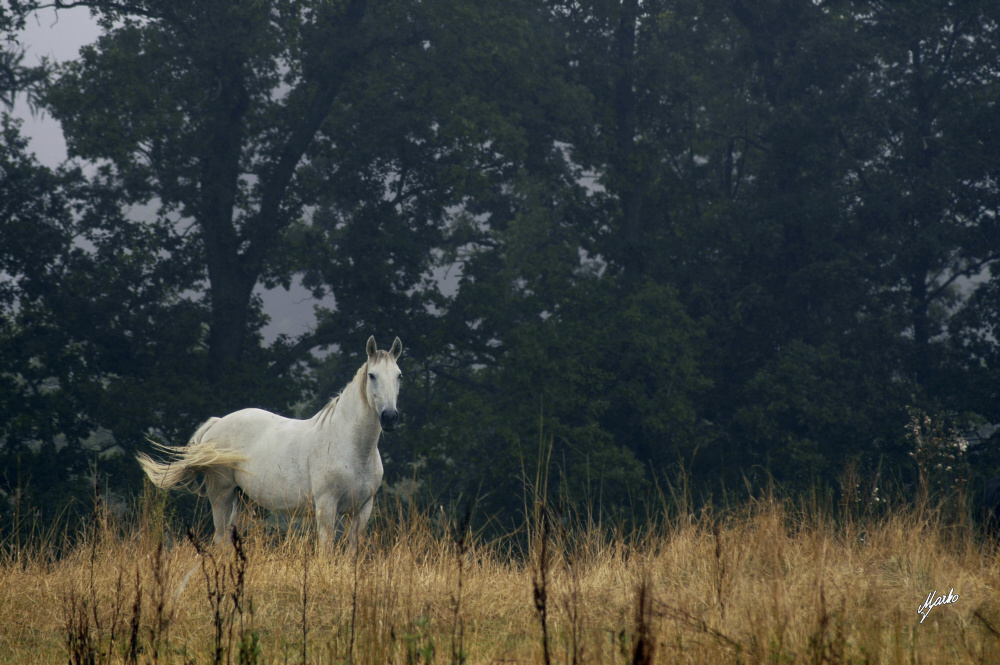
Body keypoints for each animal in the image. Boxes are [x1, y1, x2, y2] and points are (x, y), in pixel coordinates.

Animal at [138, 334, 402, 548]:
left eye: (399, 376)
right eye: (372, 375)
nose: (389, 417)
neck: (351, 444)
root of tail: (216, 423)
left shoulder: (362, 510)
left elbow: (351, 553)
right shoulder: (326, 506)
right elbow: (325, 550)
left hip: (242, 499)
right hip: (221, 494)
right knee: (220, 539)